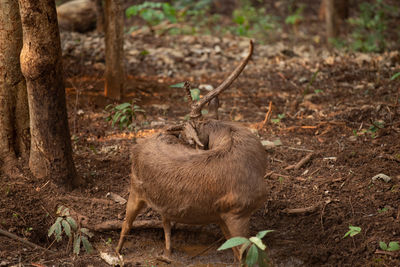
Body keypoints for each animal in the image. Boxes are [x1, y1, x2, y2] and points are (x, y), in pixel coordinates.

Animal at [115, 40, 266, 262]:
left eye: (186, 138)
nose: (174, 132)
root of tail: (137, 147)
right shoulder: (236, 211)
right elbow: (243, 256)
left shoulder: (223, 214)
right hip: (135, 187)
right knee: (127, 223)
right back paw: (117, 252)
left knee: (165, 220)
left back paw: (167, 253)